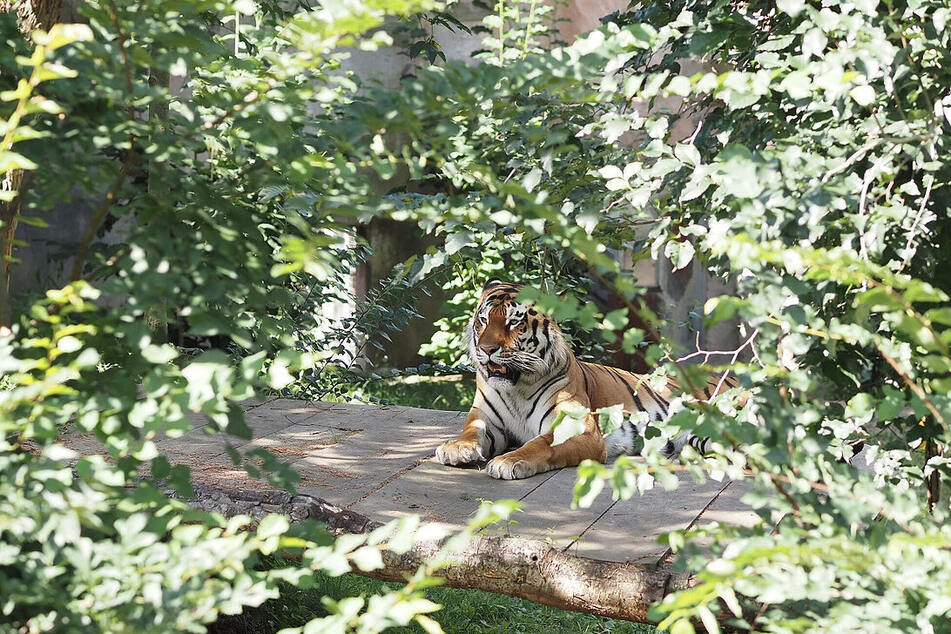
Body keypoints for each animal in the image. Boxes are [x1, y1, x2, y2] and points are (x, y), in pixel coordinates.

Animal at [436, 276, 732, 478]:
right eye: (483, 320)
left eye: (514, 321)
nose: (486, 350)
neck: (516, 386)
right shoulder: (485, 418)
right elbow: (470, 431)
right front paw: (455, 448)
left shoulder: (577, 428)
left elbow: (540, 445)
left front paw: (507, 461)